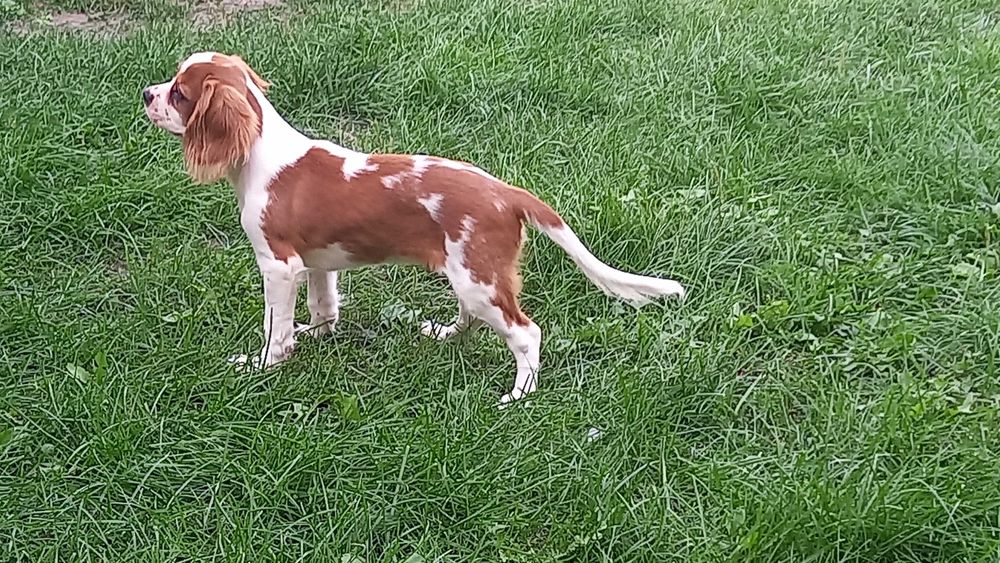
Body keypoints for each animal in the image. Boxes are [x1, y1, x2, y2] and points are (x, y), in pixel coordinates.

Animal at [143, 51, 688, 406]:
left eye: (180, 93)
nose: (147, 93)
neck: (260, 153)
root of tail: (508, 192)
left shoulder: (277, 264)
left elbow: (273, 326)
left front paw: (266, 363)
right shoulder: (315, 261)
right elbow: (323, 304)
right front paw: (316, 334)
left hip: (478, 278)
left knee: (526, 333)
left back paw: (518, 394)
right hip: (469, 276)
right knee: (475, 319)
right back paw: (445, 334)